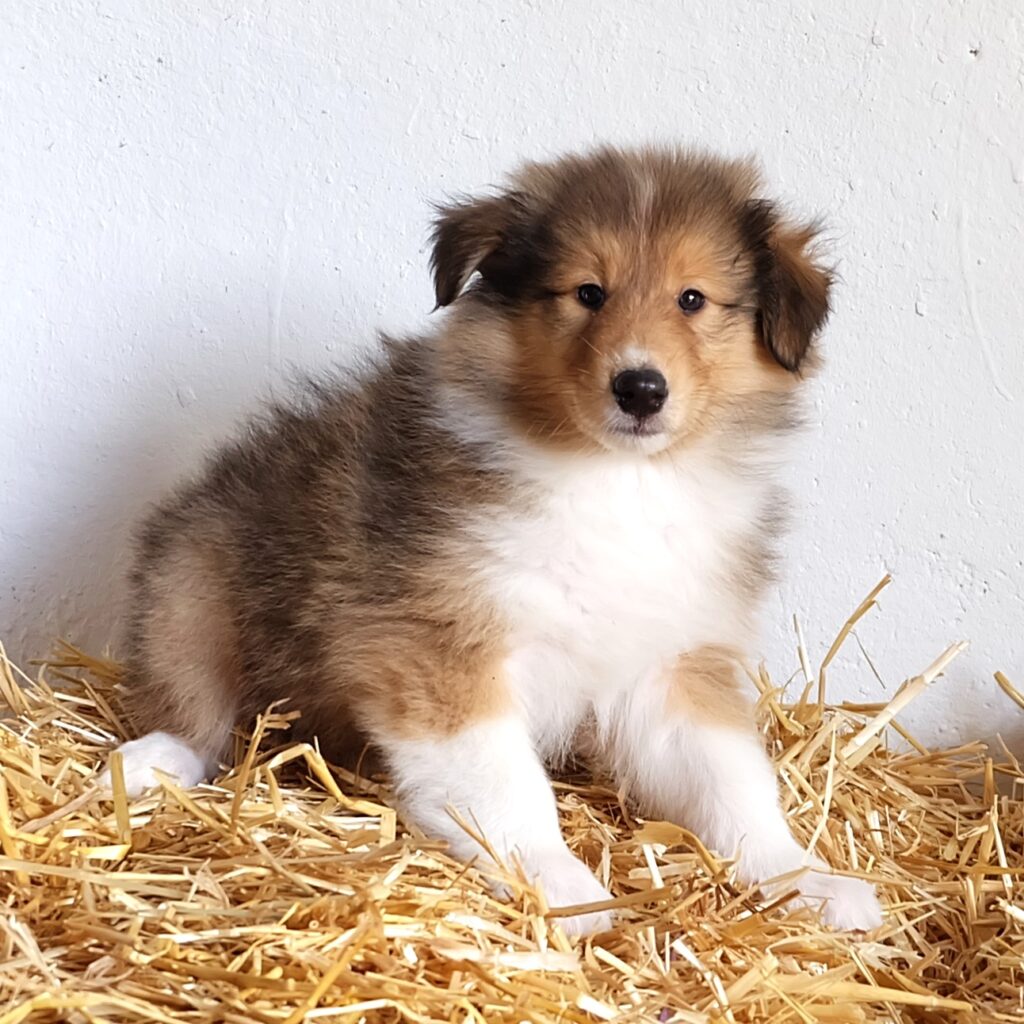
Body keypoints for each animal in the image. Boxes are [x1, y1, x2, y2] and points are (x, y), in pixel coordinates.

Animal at [103, 146, 882, 935]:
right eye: (588, 292)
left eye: (692, 299)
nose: (640, 389)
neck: (615, 480)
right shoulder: (435, 643)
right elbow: (505, 783)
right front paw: (560, 882)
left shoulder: (671, 665)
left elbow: (734, 784)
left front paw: (806, 879)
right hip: (190, 579)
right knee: (191, 707)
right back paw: (145, 764)